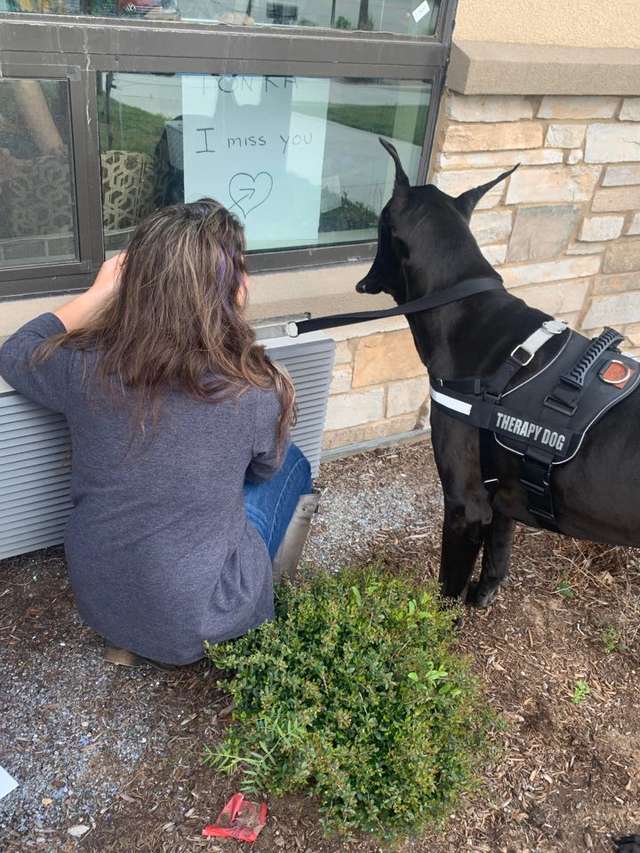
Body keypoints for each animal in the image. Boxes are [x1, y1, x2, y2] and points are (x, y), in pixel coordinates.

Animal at [356, 140, 640, 604]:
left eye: (377, 222)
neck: (466, 309)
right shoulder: (503, 500)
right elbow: (495, 568)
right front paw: (482, 597)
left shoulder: (466, 506)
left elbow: (445, 599)